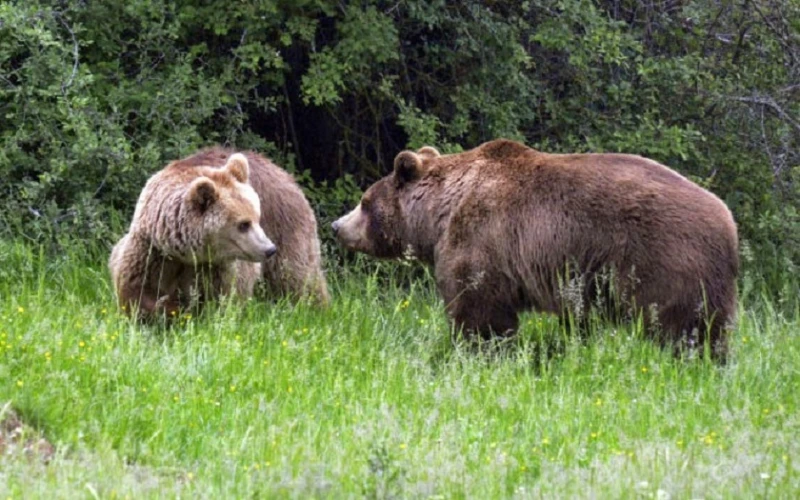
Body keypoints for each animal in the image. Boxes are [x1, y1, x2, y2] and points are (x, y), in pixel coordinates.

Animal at [110, 148, 328, 320]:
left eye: (257, 217)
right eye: (243, 224)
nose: (269, 249)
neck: (186, 252)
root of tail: (283, 172)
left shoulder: (219, 265)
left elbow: (223, 296)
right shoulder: (153, 250)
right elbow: (137, 291)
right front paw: (166, 310)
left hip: (286, 225)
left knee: (295, 275)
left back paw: (314, 309)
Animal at [332, 139, 736, 362]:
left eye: (365, 202)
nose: (337, 226)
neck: (439, 213)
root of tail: (729, 224)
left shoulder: (482, 237)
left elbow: (479, 309)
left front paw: (476, 353)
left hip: (663, 259)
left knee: (682, 325)